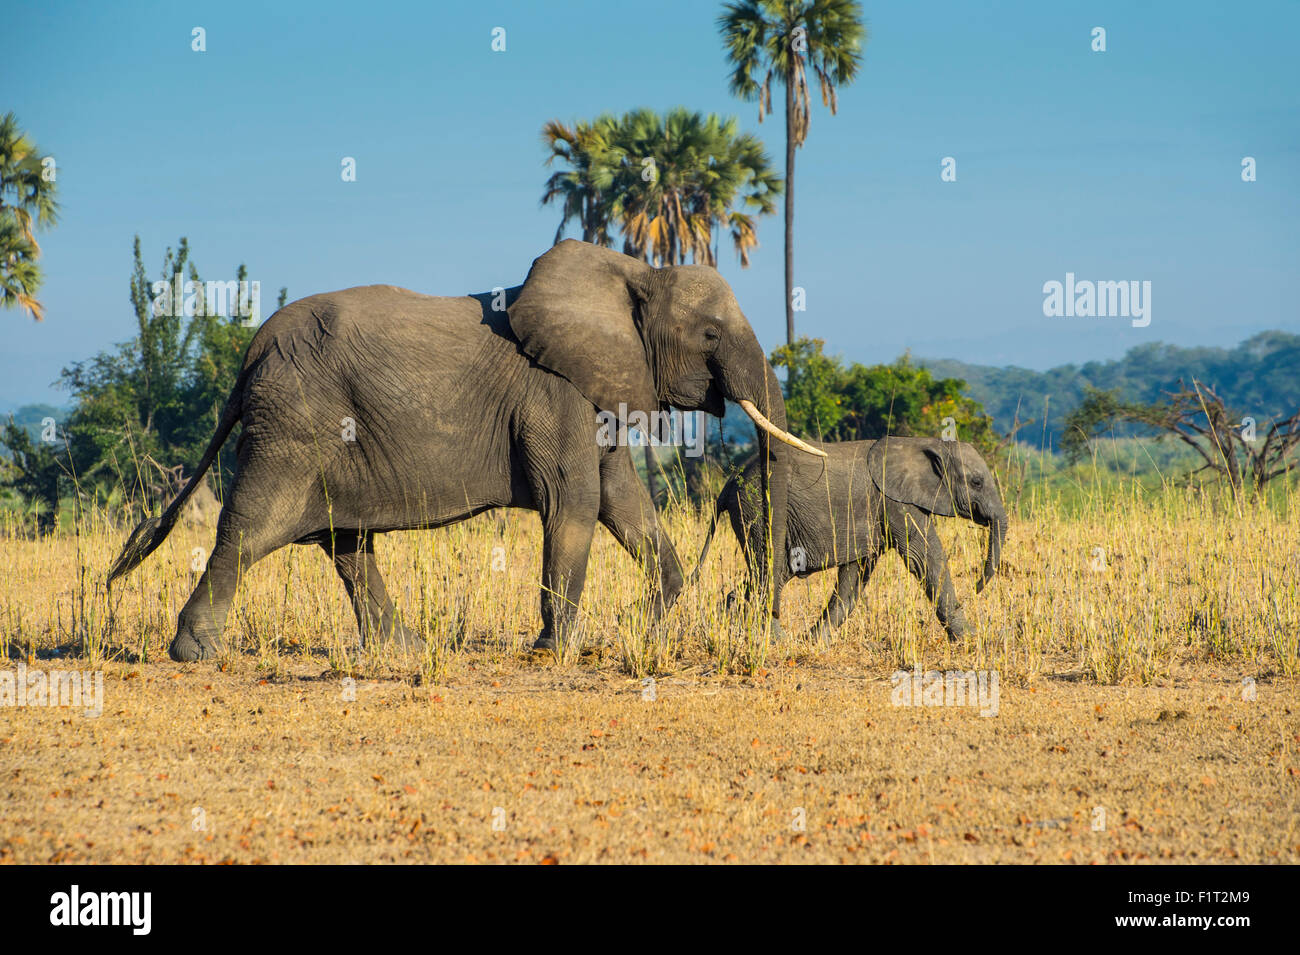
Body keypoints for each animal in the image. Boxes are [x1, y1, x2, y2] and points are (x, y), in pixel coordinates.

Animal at [107, 240, 824, 661]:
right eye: (710, 335)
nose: (762, 619)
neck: (633, 272)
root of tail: (250, 354)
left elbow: (621, 498)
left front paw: (648, 620)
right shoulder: (552, 390)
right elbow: (574, 501)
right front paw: (554, 649)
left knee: (346, 543)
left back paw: (399, 651)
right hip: (293, 423)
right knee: (253, 528)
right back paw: (196, 651)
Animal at [692, 436, 1007, 642]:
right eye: (977, 482)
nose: (976, 588)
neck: (930, 444)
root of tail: (729, 484)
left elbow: (854, 577)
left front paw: (814, 642)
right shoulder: (895, 503)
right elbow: (925, 556)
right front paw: (971, 640)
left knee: (767, 575)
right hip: (760, 510)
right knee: (769, 572)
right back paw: (776, 641)